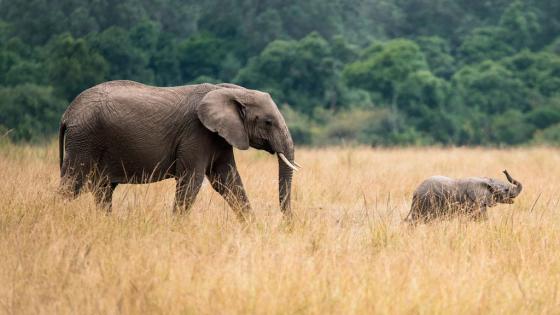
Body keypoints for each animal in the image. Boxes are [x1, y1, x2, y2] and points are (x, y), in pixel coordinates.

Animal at [58, 80, 300, 221]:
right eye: (268, 122)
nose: (287, 224)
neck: (232, 91)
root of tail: (67, 113)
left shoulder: (219, 136)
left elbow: (227, 181)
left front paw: (252, 228)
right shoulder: (196, 133)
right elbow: (191, 180)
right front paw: (176, 229)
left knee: (102, 189)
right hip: (84, 139)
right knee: (72, 184)